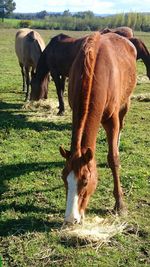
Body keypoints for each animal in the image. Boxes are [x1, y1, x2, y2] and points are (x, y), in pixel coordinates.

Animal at [59, 31, 137, 226]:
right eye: (64, 178)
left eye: (86, 181)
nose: (71, 219)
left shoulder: (112, 119)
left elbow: (113, 159)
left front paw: (120, 204)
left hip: (125, 104)